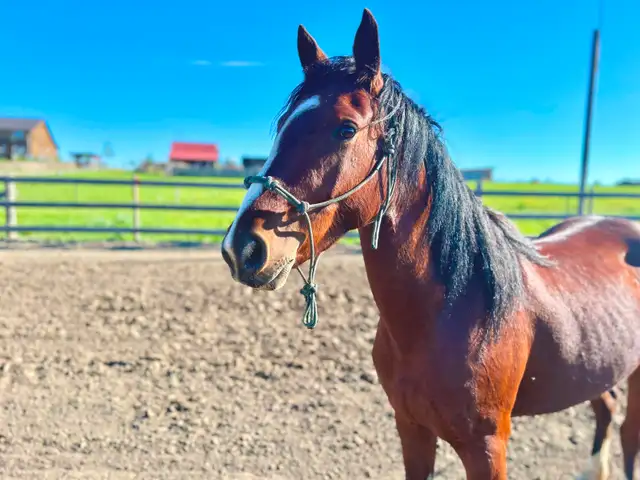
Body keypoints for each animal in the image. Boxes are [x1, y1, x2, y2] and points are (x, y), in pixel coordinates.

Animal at [221, 9, 640, 479]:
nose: (243, 248)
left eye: (345, 129)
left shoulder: (487, 448)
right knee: (606, 409)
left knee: (628, 433)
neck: (455, 308)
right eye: (282, 126)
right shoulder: (411, 429)